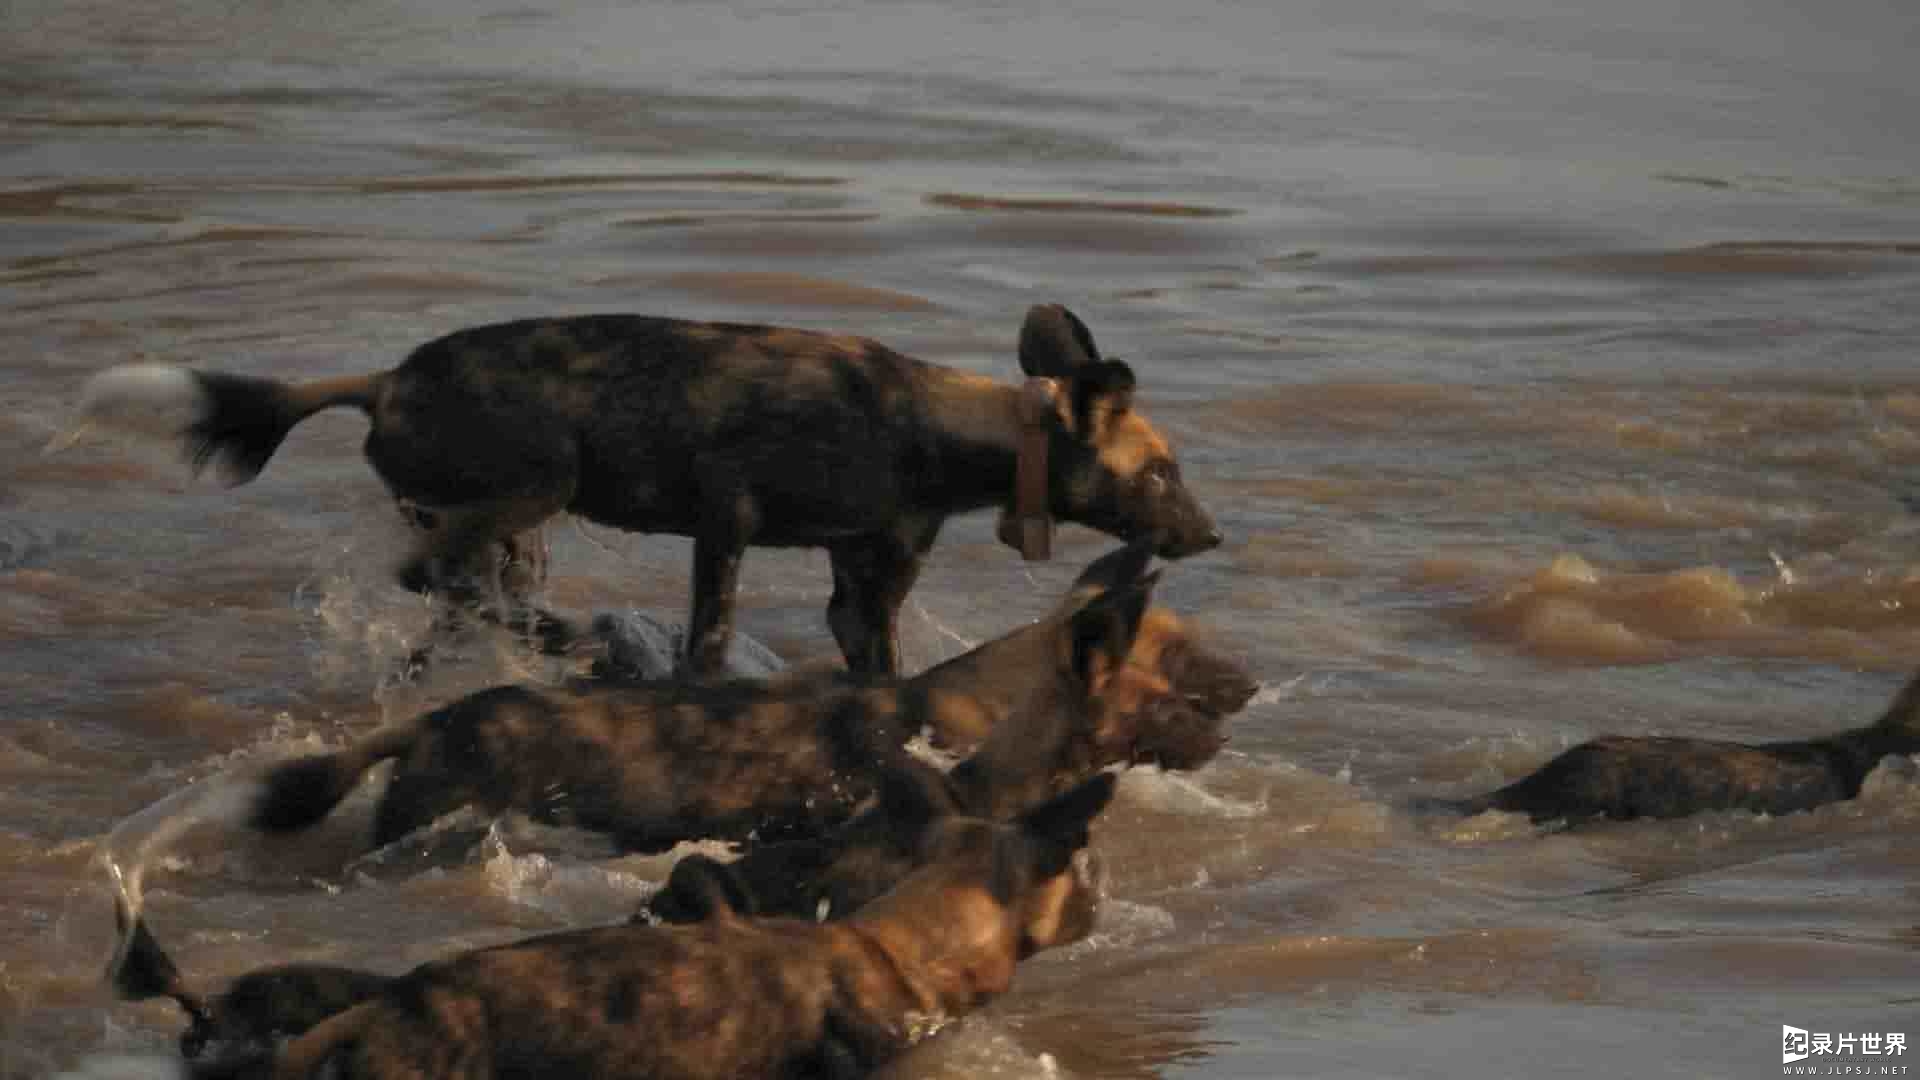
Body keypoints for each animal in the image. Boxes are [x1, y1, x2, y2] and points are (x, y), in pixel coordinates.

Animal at [71, 303, 1228, 672]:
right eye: (1160, 472)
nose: (1214, 537)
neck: (936, 426)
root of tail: (386, 379)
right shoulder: (727, 526)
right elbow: (709, 648)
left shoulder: (862, 583)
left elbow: (878, 672)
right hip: (537, 484)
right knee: (432, 578)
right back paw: (565, 642)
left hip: (505, 527)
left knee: (453, 597)